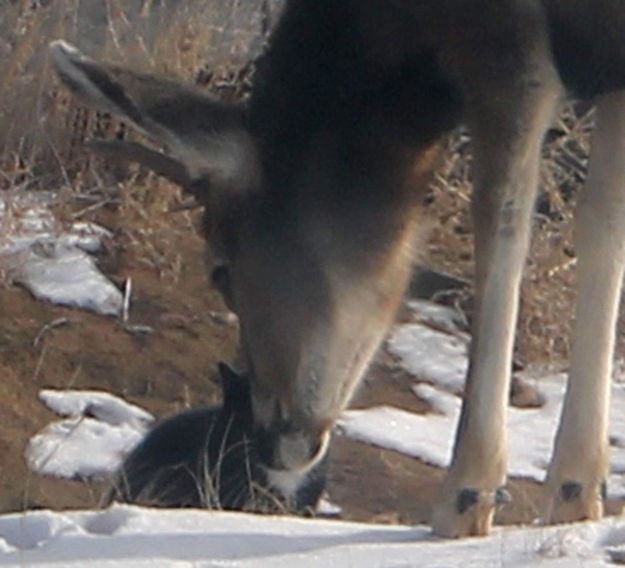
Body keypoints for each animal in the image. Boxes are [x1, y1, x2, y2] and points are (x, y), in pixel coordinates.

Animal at [50, 0, 625, 540]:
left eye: (220, 269)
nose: (272, 438)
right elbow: (602, 224)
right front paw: (578, 486)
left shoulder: (503, 39)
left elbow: (502, 220)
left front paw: (468, 491)